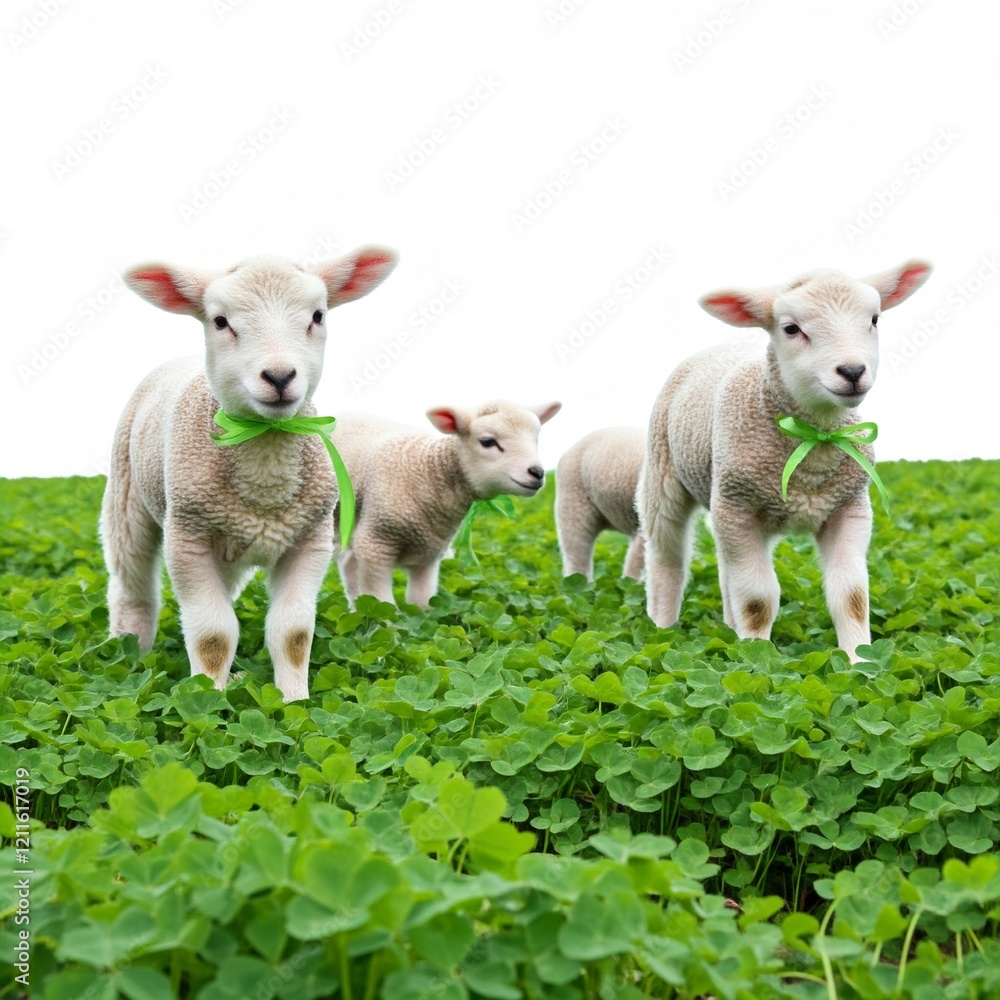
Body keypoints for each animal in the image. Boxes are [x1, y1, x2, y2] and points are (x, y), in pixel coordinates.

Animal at [100, 246, 398, 702]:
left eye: (318, 315)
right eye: (220, 321)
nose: (279, 376)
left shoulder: (310, 541)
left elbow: (293, 634)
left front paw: (295, 701)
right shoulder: (187, 539)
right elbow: (213, 634)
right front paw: (208, 698)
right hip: (127, 496)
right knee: (131, 586)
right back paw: (129, 652)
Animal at [331, 400, 561, 607]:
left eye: (535, 439)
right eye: (487, 441)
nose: (537, 473)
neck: (427, 470)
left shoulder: (430, 552)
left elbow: (421, 602)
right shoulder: (375, 544)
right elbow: (381, 602)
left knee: (348, 562)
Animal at [637, 259, 932, 659]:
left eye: (874, 319)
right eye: (792, 329)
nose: (852, 372)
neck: (815, 443)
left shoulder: (849, 507)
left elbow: (851, 596)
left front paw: (859, 660)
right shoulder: (740, 507)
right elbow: (758, 600)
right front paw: (757, 657)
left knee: (725, 565)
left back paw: (729, 627)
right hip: (667, 475)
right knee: (666, 556)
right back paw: (662, 628)